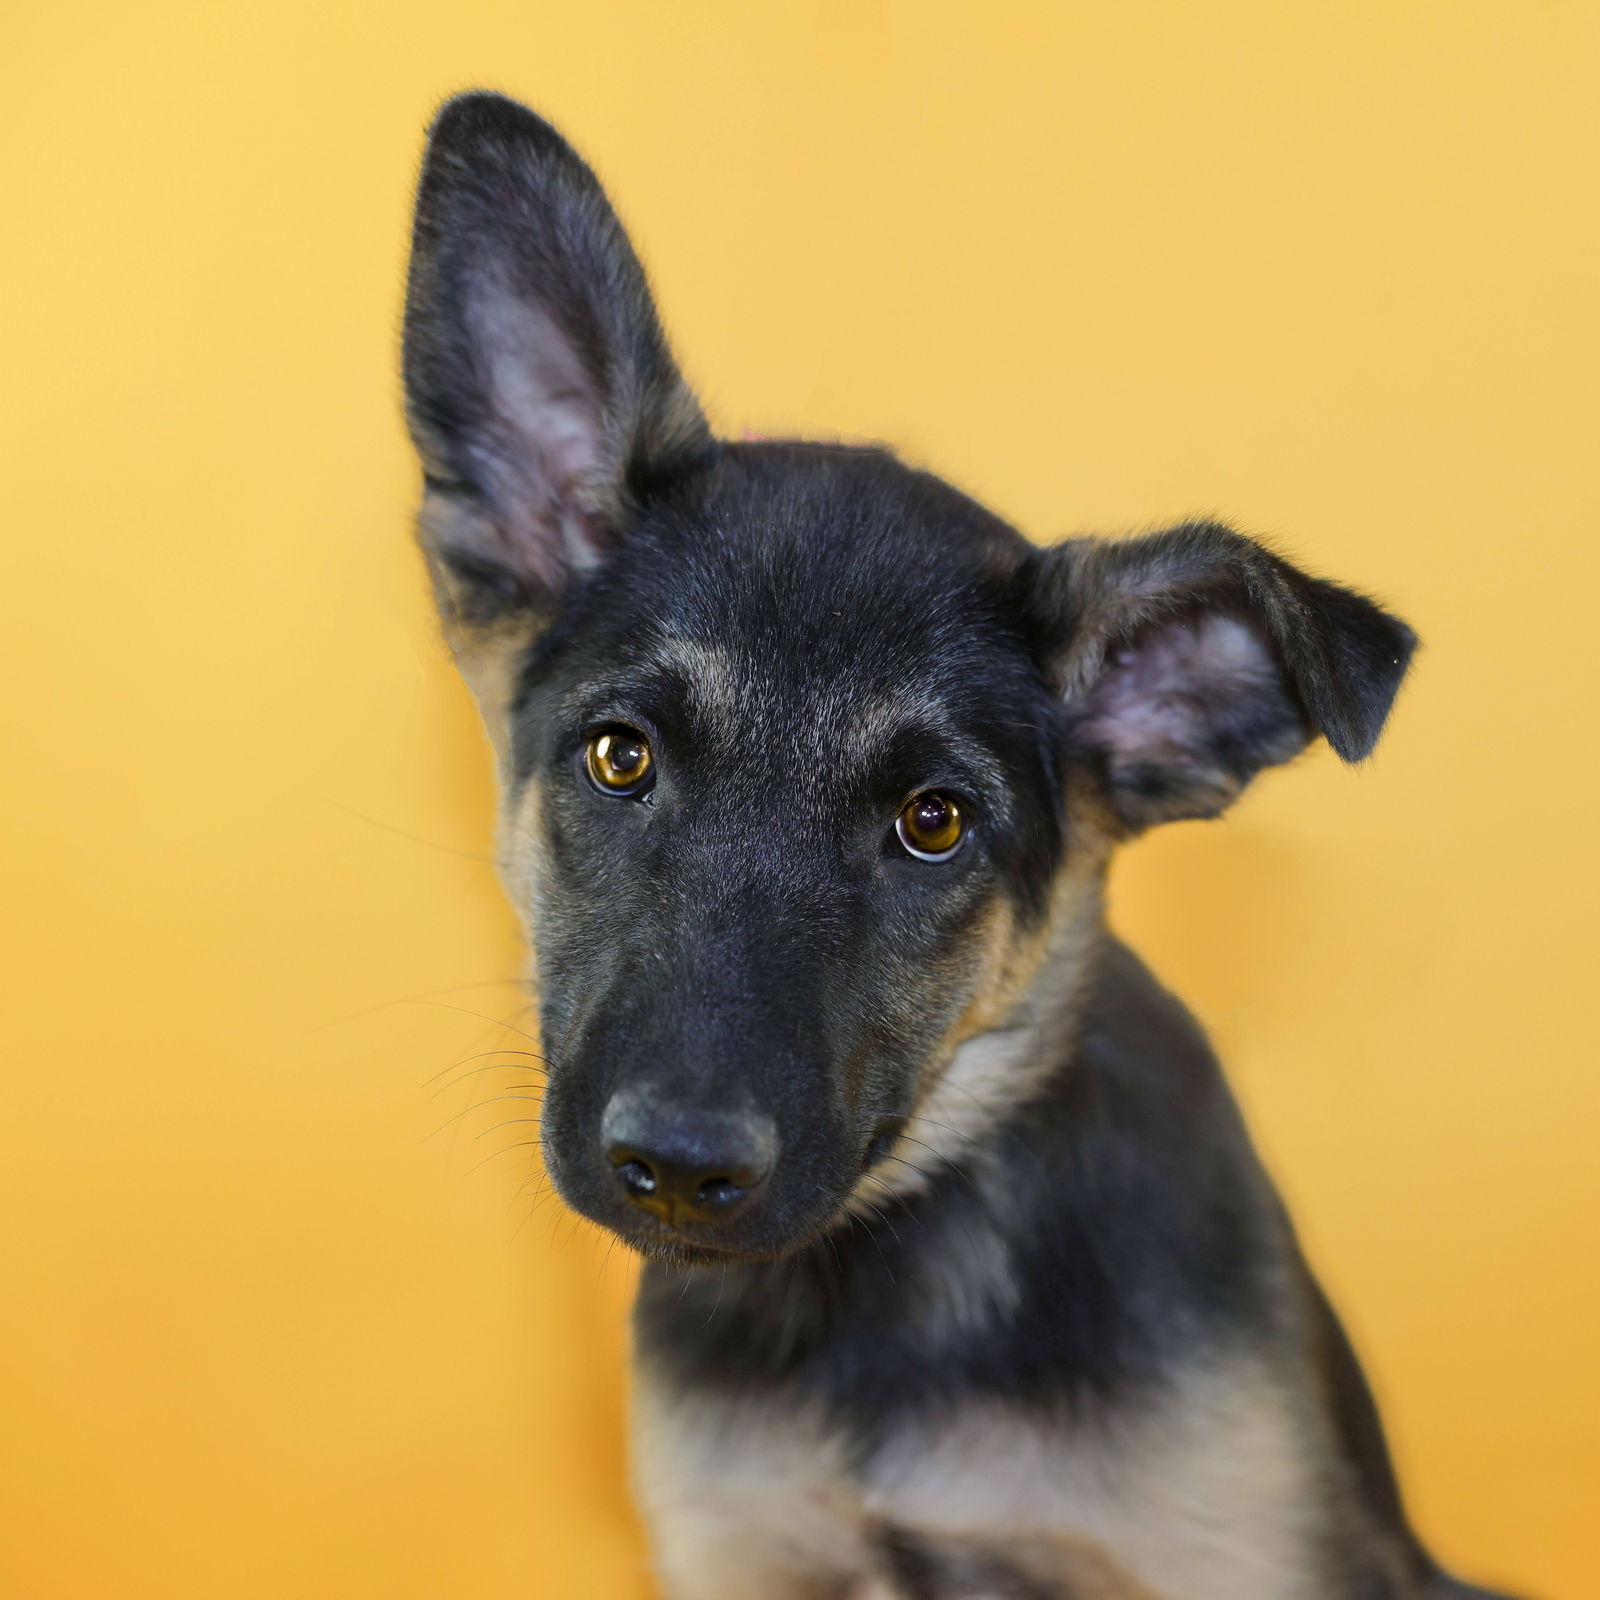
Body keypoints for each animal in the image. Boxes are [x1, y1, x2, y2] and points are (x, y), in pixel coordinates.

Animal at [396, 93, 1510, 1600]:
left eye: (933, 824)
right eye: (620, 757)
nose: (678, 1167)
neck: (880, 1285)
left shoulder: (1249, 1552)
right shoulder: (744, 1549)